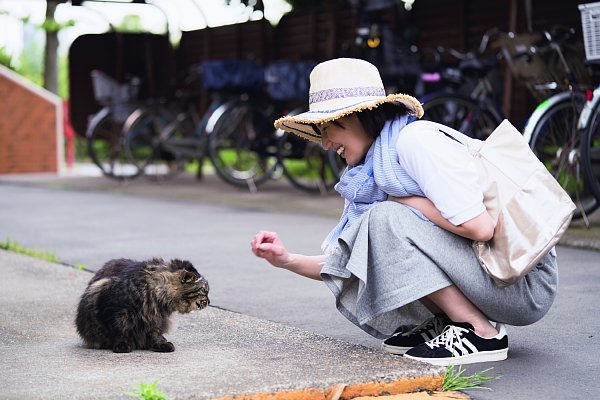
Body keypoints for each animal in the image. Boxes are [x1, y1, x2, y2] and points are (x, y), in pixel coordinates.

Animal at [75, 256, 209, 354]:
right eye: (204, 290)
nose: (209, 301)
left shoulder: (156, 318)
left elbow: (155, 333)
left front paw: (161, 344)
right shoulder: (115, 311)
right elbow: (119, 331)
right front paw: (122, 345)